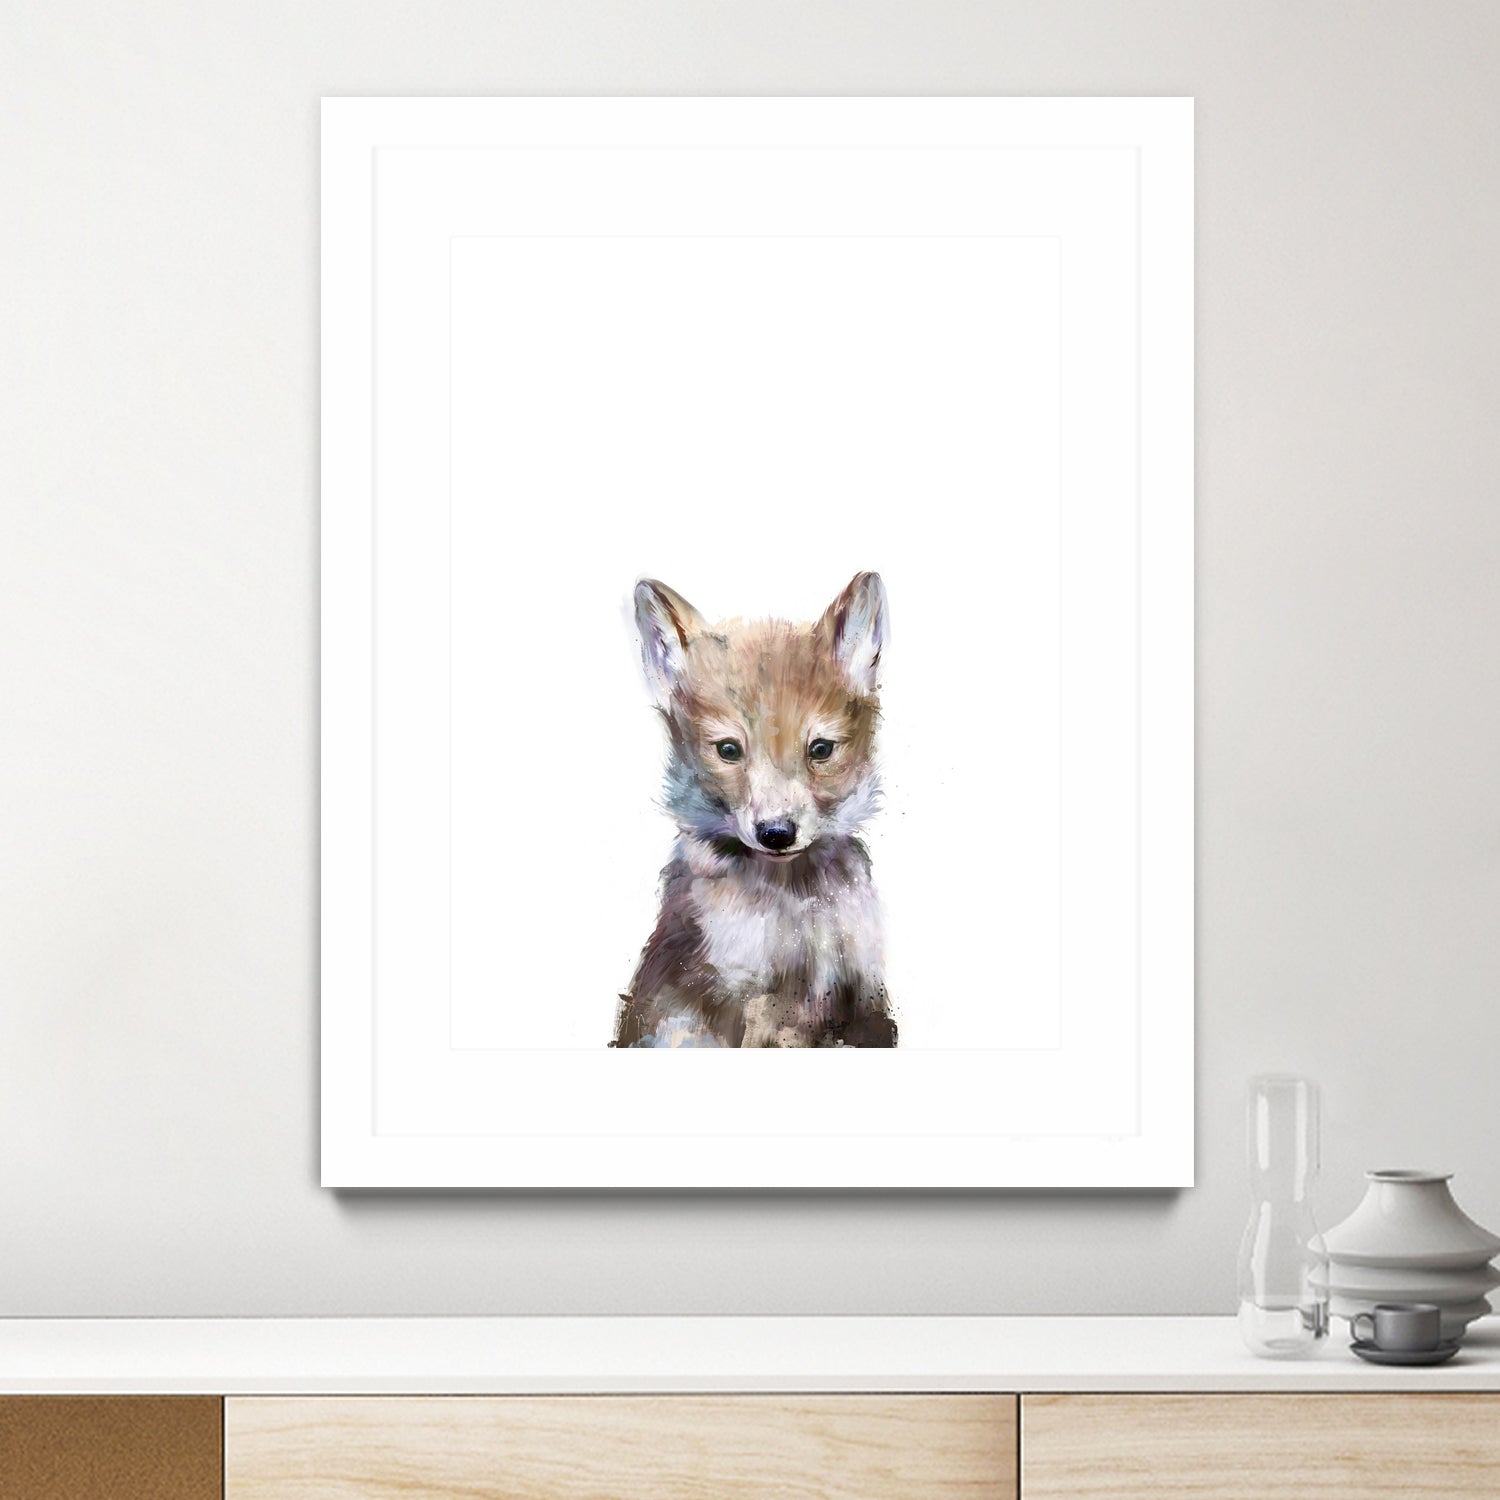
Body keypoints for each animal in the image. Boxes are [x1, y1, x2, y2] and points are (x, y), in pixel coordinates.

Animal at [612, 573, 896, 1048]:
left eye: (821, 749)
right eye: (728, 750)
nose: (776, 834)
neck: (794, 906)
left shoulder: (861, 992)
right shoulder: (743, 996)